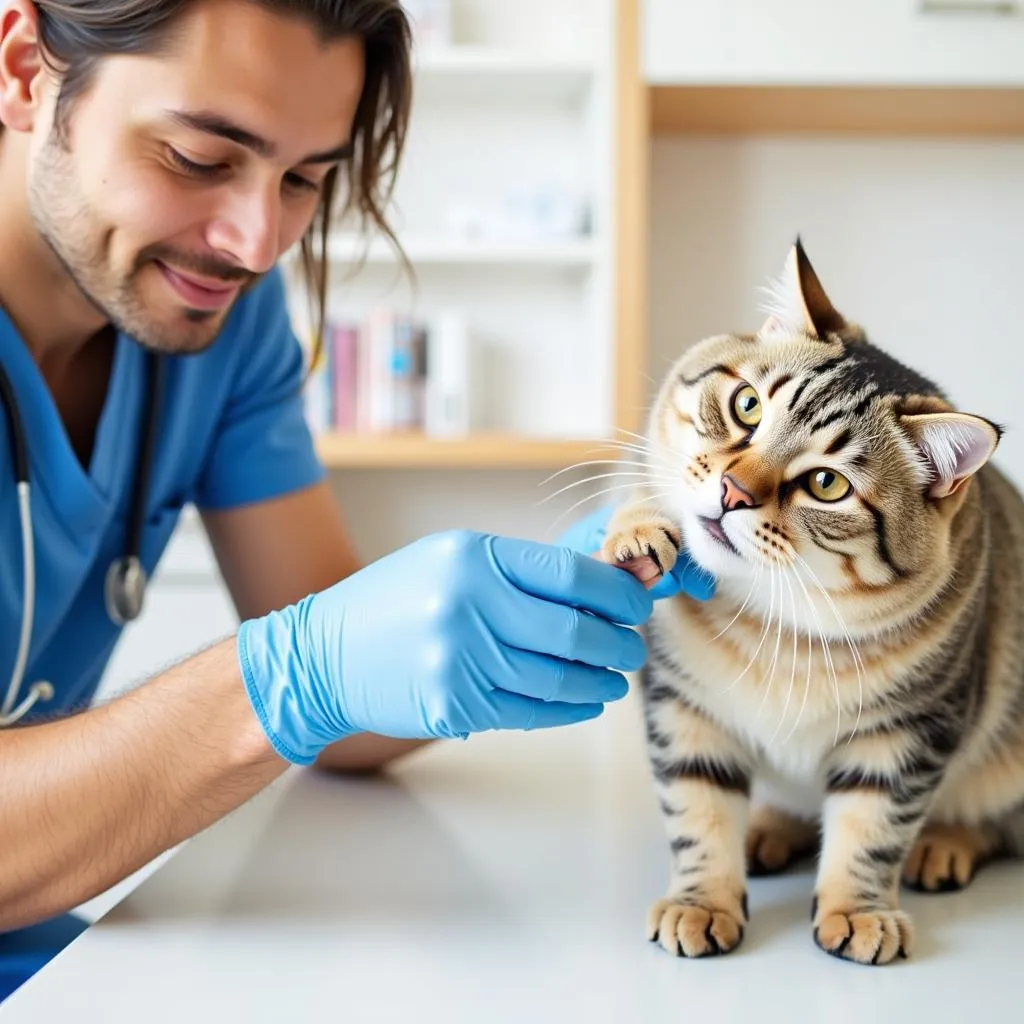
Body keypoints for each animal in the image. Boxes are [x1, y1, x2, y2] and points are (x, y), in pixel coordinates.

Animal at [598, 239, 1024, 966]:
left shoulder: (908, 734)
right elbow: (698, 811)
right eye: (746, 406)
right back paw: (767, 831)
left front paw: (858, 912)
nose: (733, 492)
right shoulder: (683, 706)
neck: (776, 623)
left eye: (827, 484)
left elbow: (871, 831)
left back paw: (944, 846)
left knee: (993, 826)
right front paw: (702, 901)